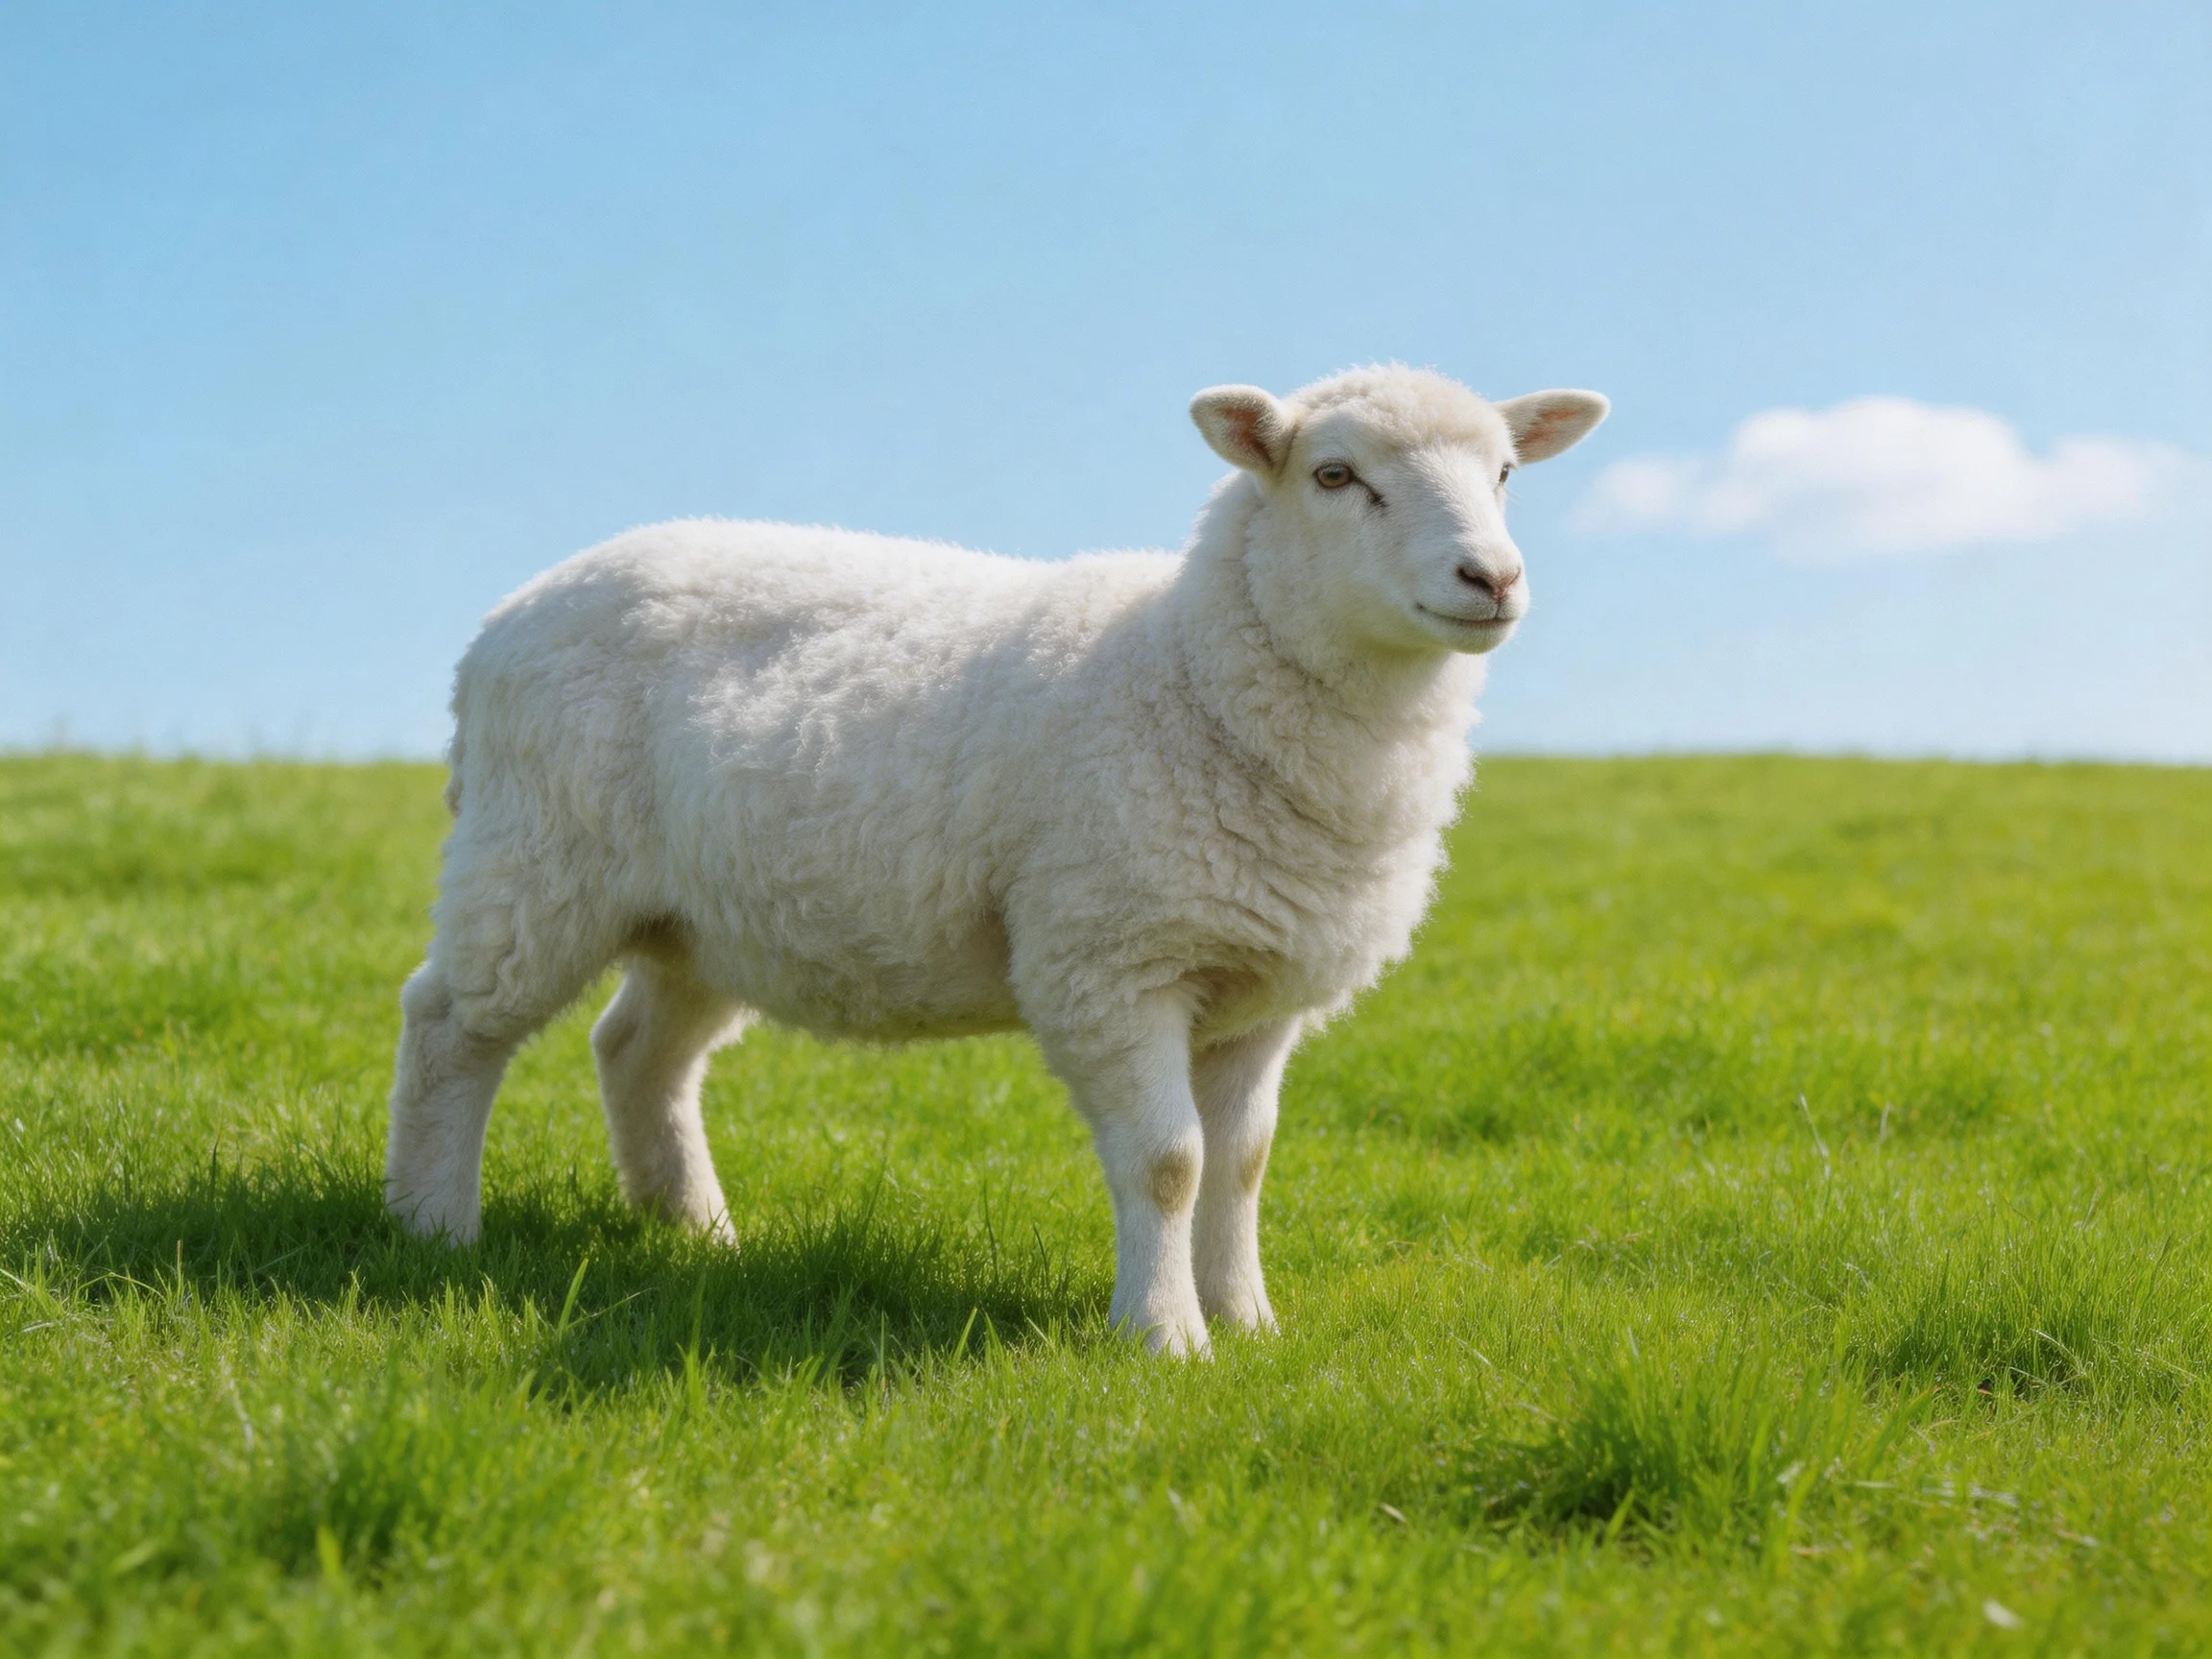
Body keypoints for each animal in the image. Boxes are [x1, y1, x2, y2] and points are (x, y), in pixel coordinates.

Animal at [384, 365, 1608, 1355]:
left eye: (1505, 473)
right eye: (1337, 475)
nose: (1491, 579)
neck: (1191, 668)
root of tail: (501, 623)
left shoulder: (1261, 989)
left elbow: (1243, 1162)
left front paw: (1248, 1321)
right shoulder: (1109, 959)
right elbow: (1170, 1160)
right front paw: (1165, 1338)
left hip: (701, 916)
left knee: (639, 1052)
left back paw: (695, 1232)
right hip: (535, 859)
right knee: (449, 1026)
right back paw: (432, 1227)